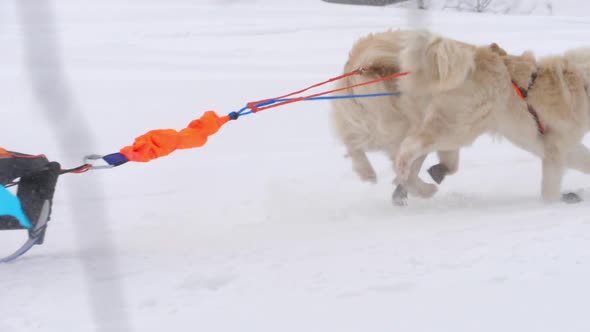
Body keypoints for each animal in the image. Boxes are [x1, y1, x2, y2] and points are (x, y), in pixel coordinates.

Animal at [396, 30, 590, 202]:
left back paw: (420, 186)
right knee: (409, 146)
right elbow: (550, 187)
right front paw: (551, 204)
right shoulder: (554, 147)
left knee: (421, 158)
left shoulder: (567, 146)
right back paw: (407, 172)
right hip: (459, 128)